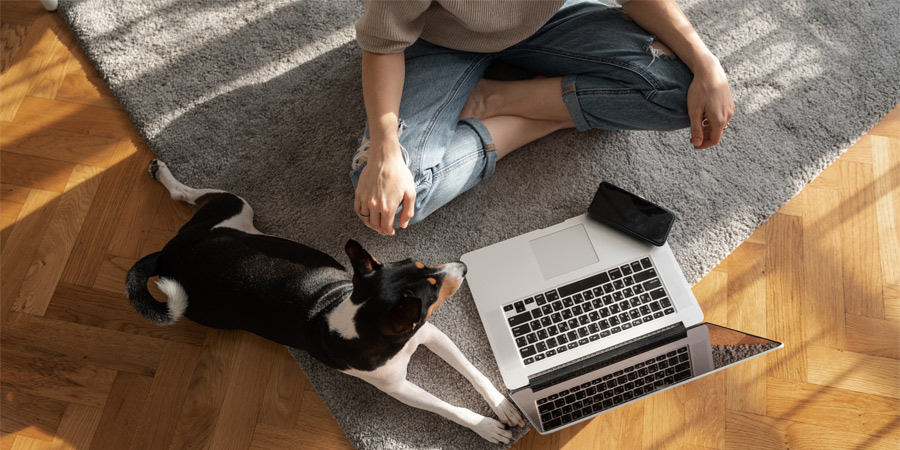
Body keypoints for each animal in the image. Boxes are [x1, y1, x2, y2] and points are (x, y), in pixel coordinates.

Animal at [124, 160, 524, 442]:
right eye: (434, 289)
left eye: (426, 268)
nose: (464, 266)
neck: (361, 320)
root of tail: (165, 256)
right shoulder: (399, 388)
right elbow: (448, 409)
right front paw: (486, 427)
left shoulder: (429, 334)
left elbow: (475, 373)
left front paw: (504, 407)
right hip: (214, 271)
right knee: (185, 195)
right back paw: (164, 175)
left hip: (236, 210)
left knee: (189, 197)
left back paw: (162, 174)